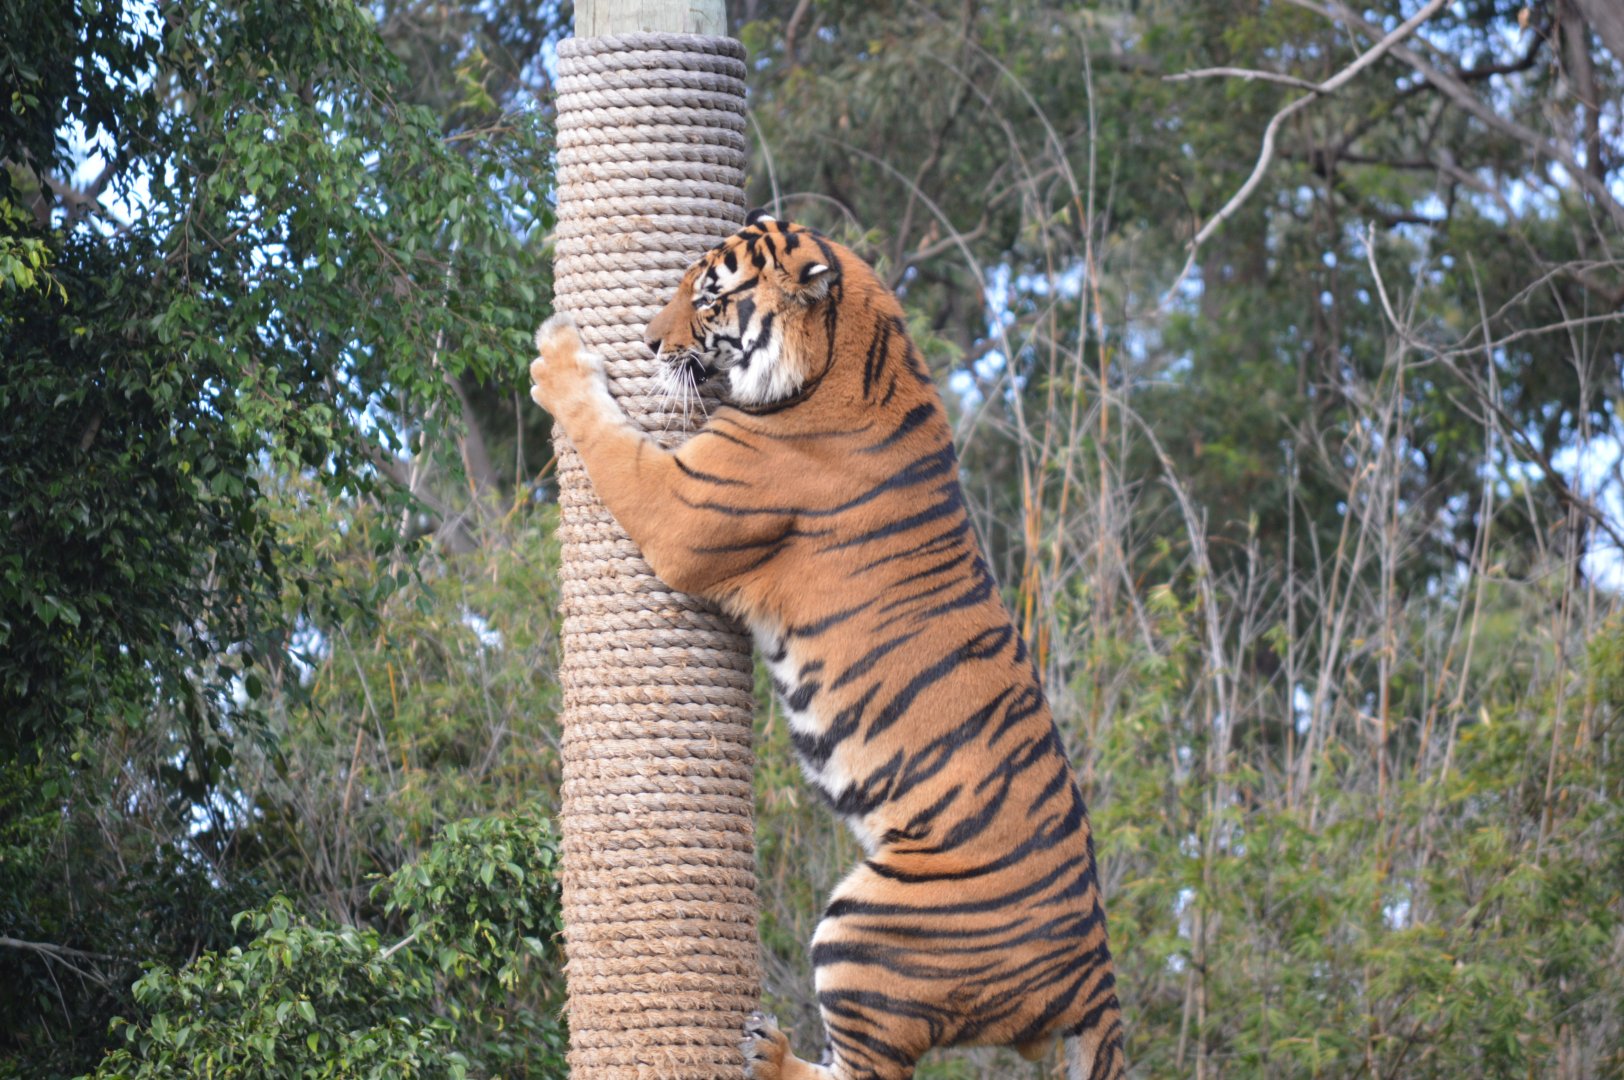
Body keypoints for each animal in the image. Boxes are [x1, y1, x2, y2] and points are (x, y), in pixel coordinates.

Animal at [528, 210, 1125, 1080]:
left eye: (709, 299)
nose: (646, 341)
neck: (856, 347)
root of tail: (1096, 973)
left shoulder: (678, 509)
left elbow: (608, 438)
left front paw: (557, 355)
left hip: (871, 931)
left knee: (873, 1072)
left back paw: (765, 1050)